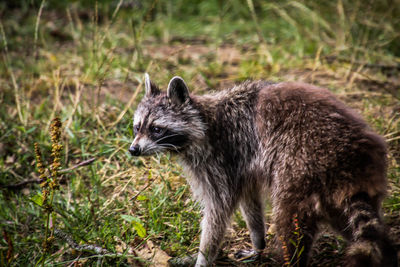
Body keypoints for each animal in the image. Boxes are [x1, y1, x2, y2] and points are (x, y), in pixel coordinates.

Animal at [129, 74, 396, 267]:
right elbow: (250, 202)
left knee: (289, 219)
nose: (133, 150)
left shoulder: (219, 159)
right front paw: (258, 241)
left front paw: (203, 257)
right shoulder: (242, 165)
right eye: (137, 127)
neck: (204, 121)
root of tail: (354, 159)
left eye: (156, 129)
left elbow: (218, 212)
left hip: (302, 164)